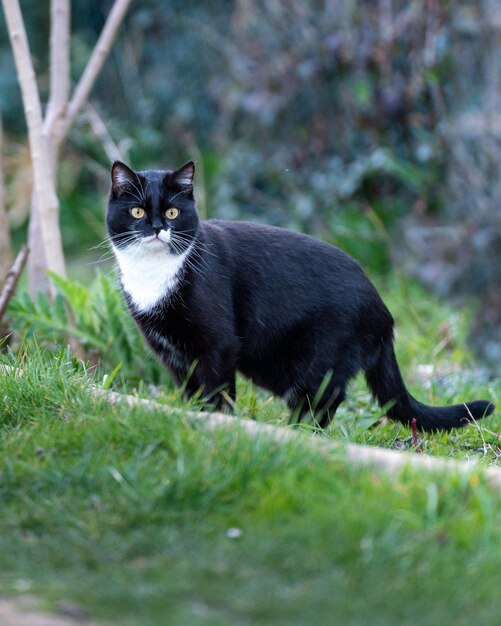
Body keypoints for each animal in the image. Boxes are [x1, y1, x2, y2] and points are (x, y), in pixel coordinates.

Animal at [105, 160, 492, 428]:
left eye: (172, 211)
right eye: (137, 211)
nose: (157, 228)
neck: (153, 278)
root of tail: (384, 313)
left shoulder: (219, 345)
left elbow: (217, 389)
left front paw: (218, 423)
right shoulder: (172, 353)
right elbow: (192, 391)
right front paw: (194, 416)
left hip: (317, 356)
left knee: (324, 397)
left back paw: (298, 434)